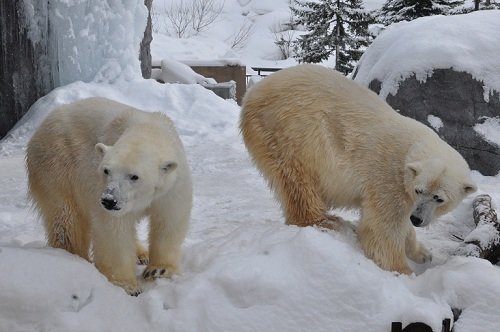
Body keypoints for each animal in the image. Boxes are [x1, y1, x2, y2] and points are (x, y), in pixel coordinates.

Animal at [26, 97, 192, 294]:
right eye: (106, 170)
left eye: (134, 176)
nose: (109, 200)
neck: (149, 129)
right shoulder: (98, 185)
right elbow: (114, 231)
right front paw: (128, 286)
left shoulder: (173, 184)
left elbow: (169, 220)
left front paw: (159, 270)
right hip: (57, 164)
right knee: (67, 219)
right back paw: (75, 259)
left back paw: (141, 254)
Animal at [241, 63, 476, 274]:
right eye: (420, 190)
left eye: (439, 198)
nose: (417, 219)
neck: (411, 148)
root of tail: (252, 93)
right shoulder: (387, 178)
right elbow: (383, 229)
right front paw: (403, 271)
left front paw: (422, 254)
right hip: (290, 130)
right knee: (298, 179)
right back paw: (327, 221)